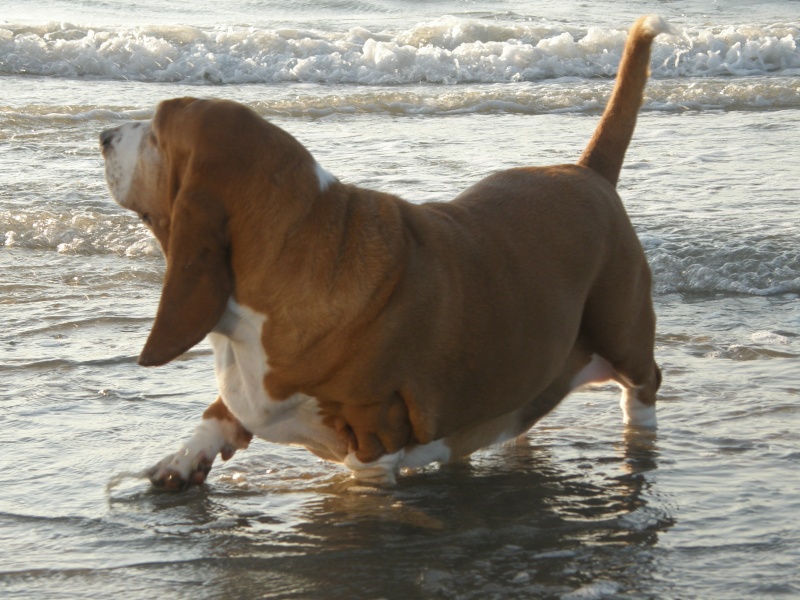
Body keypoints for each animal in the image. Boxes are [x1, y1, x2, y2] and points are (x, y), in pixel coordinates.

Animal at [98, 16, 668, 490]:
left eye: (157, 132)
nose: (103, 135)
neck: (297, 239)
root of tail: (588, 172)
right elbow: (217, 416)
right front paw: (178, 463)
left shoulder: (375, 431)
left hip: (623, 333)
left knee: (643, 386)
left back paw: (639, 442)